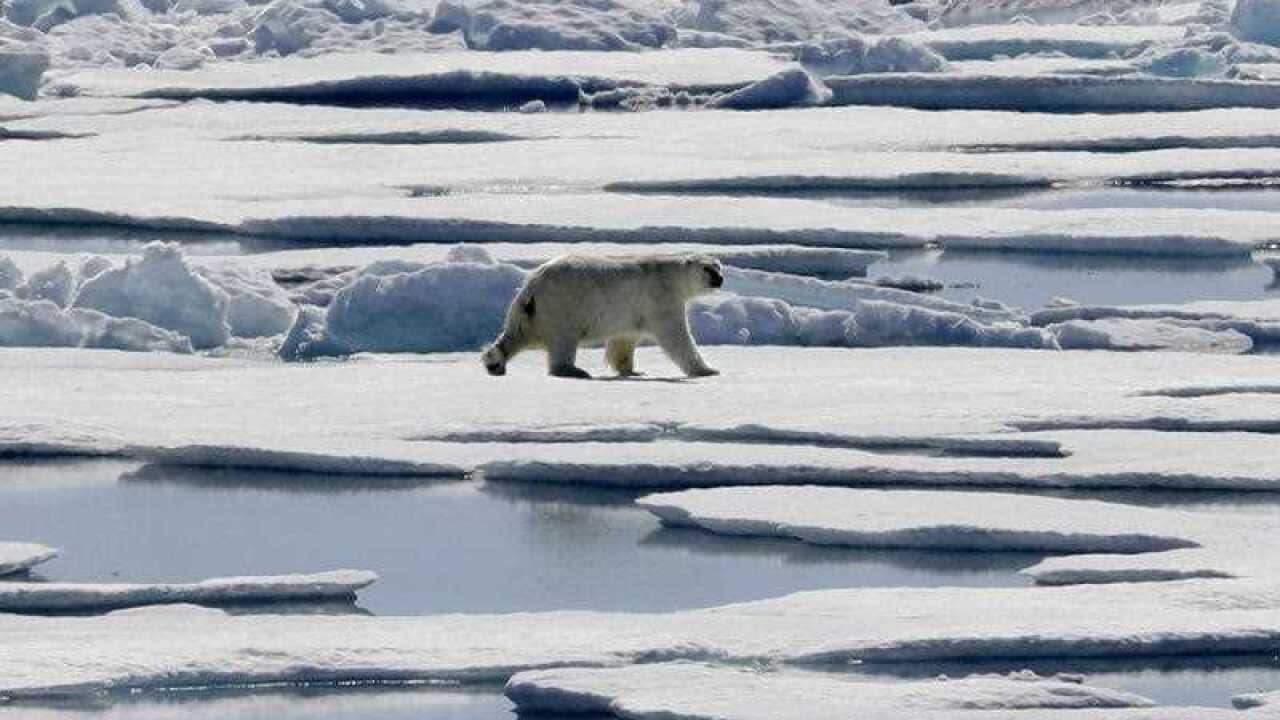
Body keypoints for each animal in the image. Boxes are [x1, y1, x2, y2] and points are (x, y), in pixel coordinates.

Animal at [481, 253, 724, 379]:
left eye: (719, 266)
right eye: (707, 269)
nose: (720, 279)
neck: (671, 275)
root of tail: (532, 286)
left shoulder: (631, 312)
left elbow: (624, 340)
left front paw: (633, 371)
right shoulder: (660, 298)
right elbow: (676, 336)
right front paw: (707, 370)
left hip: (528, 312)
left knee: (516, 334)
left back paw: (495, 363)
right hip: (562, 306)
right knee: (562, 340)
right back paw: (574, 370)